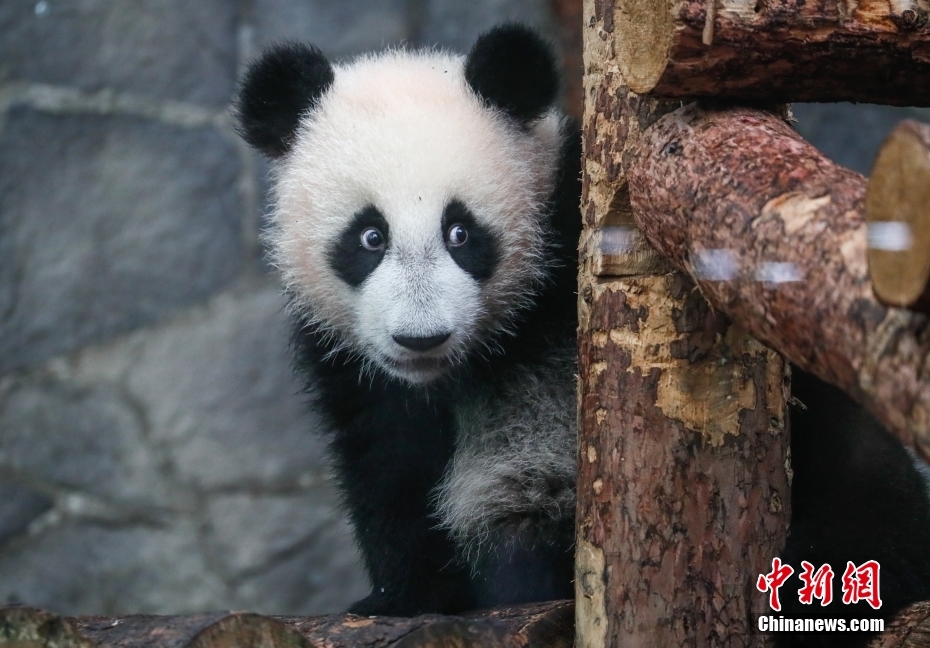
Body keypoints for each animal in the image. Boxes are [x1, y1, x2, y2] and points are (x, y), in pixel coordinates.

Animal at [234, 22, 930, 644]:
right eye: (369, 237)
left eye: (461, 232)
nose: (421, 337)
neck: (481, 355)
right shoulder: (359, 370)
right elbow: (390, 470)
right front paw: (397, 599)